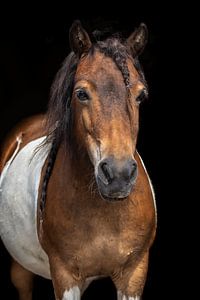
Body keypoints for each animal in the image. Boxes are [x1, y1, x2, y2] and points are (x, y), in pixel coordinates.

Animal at [0, 21, 156, 300]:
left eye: (140, 95)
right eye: (81, 93)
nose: (118, 176)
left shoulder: (134, 274)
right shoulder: (65, 276)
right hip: (21, 269)